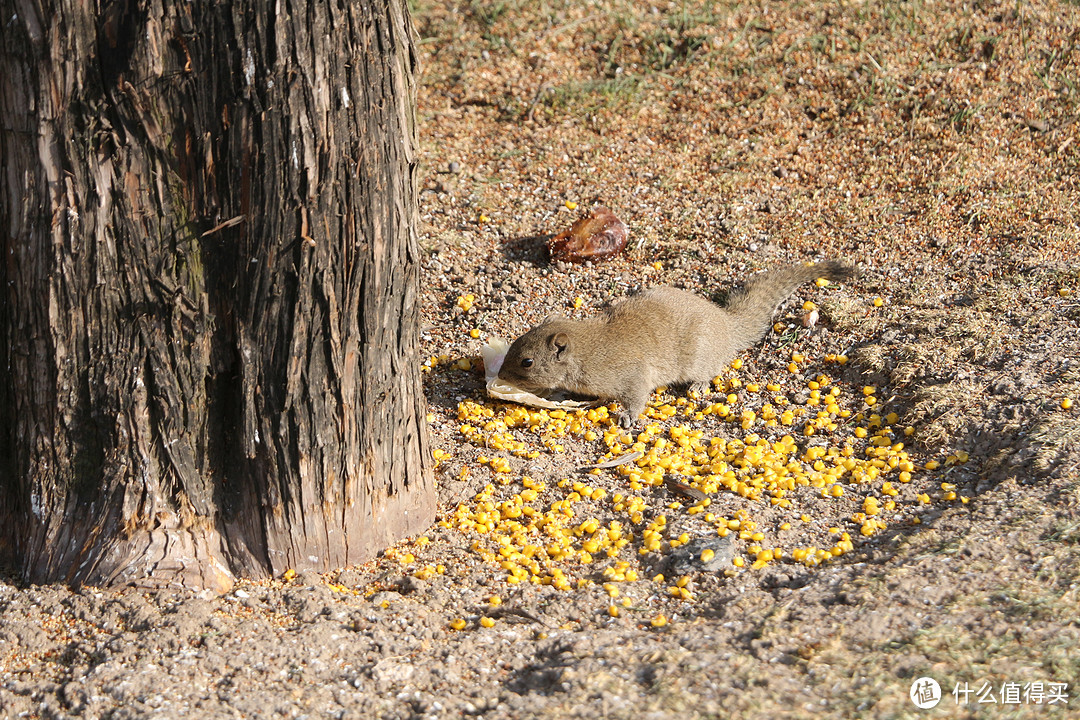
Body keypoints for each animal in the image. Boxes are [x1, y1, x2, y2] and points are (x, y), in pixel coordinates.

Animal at [494, 260, 851, 425]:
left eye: (526, 361)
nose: (499, 377)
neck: (587, 350)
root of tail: (728, 324)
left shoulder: (633, 375)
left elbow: (635, 398)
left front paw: (626, 417)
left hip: (699, 359)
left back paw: (698, 386)